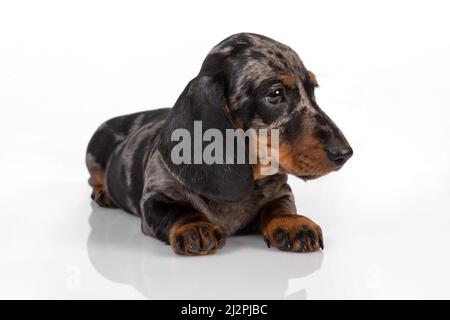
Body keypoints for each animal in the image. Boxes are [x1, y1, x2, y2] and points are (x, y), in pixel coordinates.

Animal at [84, 33, 352, 255]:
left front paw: (292, 223)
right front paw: (196, 225)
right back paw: (102, 193)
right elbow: (177, 210)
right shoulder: (154, 198)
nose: (345, 153)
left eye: (313, 89)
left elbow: (280, 206)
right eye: (275, 94)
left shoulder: (281, 191)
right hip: (95, 145)